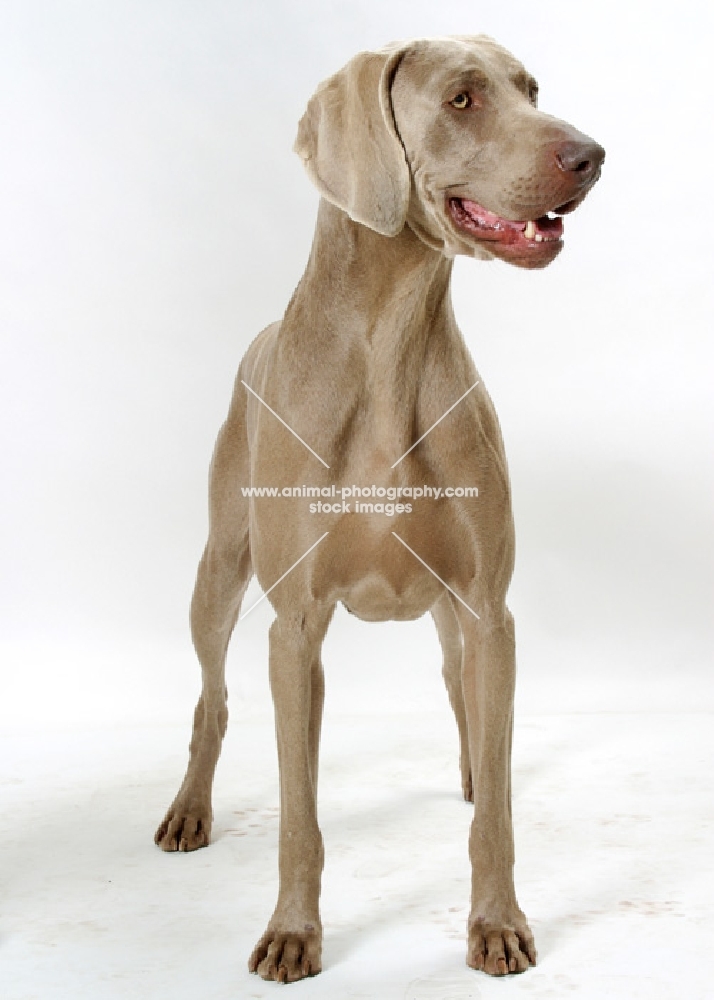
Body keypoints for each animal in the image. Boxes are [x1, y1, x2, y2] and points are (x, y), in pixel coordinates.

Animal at [154, 35, 600, 980]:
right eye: (463, 99)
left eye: (532, 88)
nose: (592, 154)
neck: (391, 349)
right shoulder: (294, 626)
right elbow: (298, 813)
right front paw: (293, 931)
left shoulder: (488, 605)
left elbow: (497, 805)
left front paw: (497, 922)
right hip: (219, 570)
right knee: (213, 696)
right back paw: (190, 809)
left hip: (453, 611)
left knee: (465, 695)